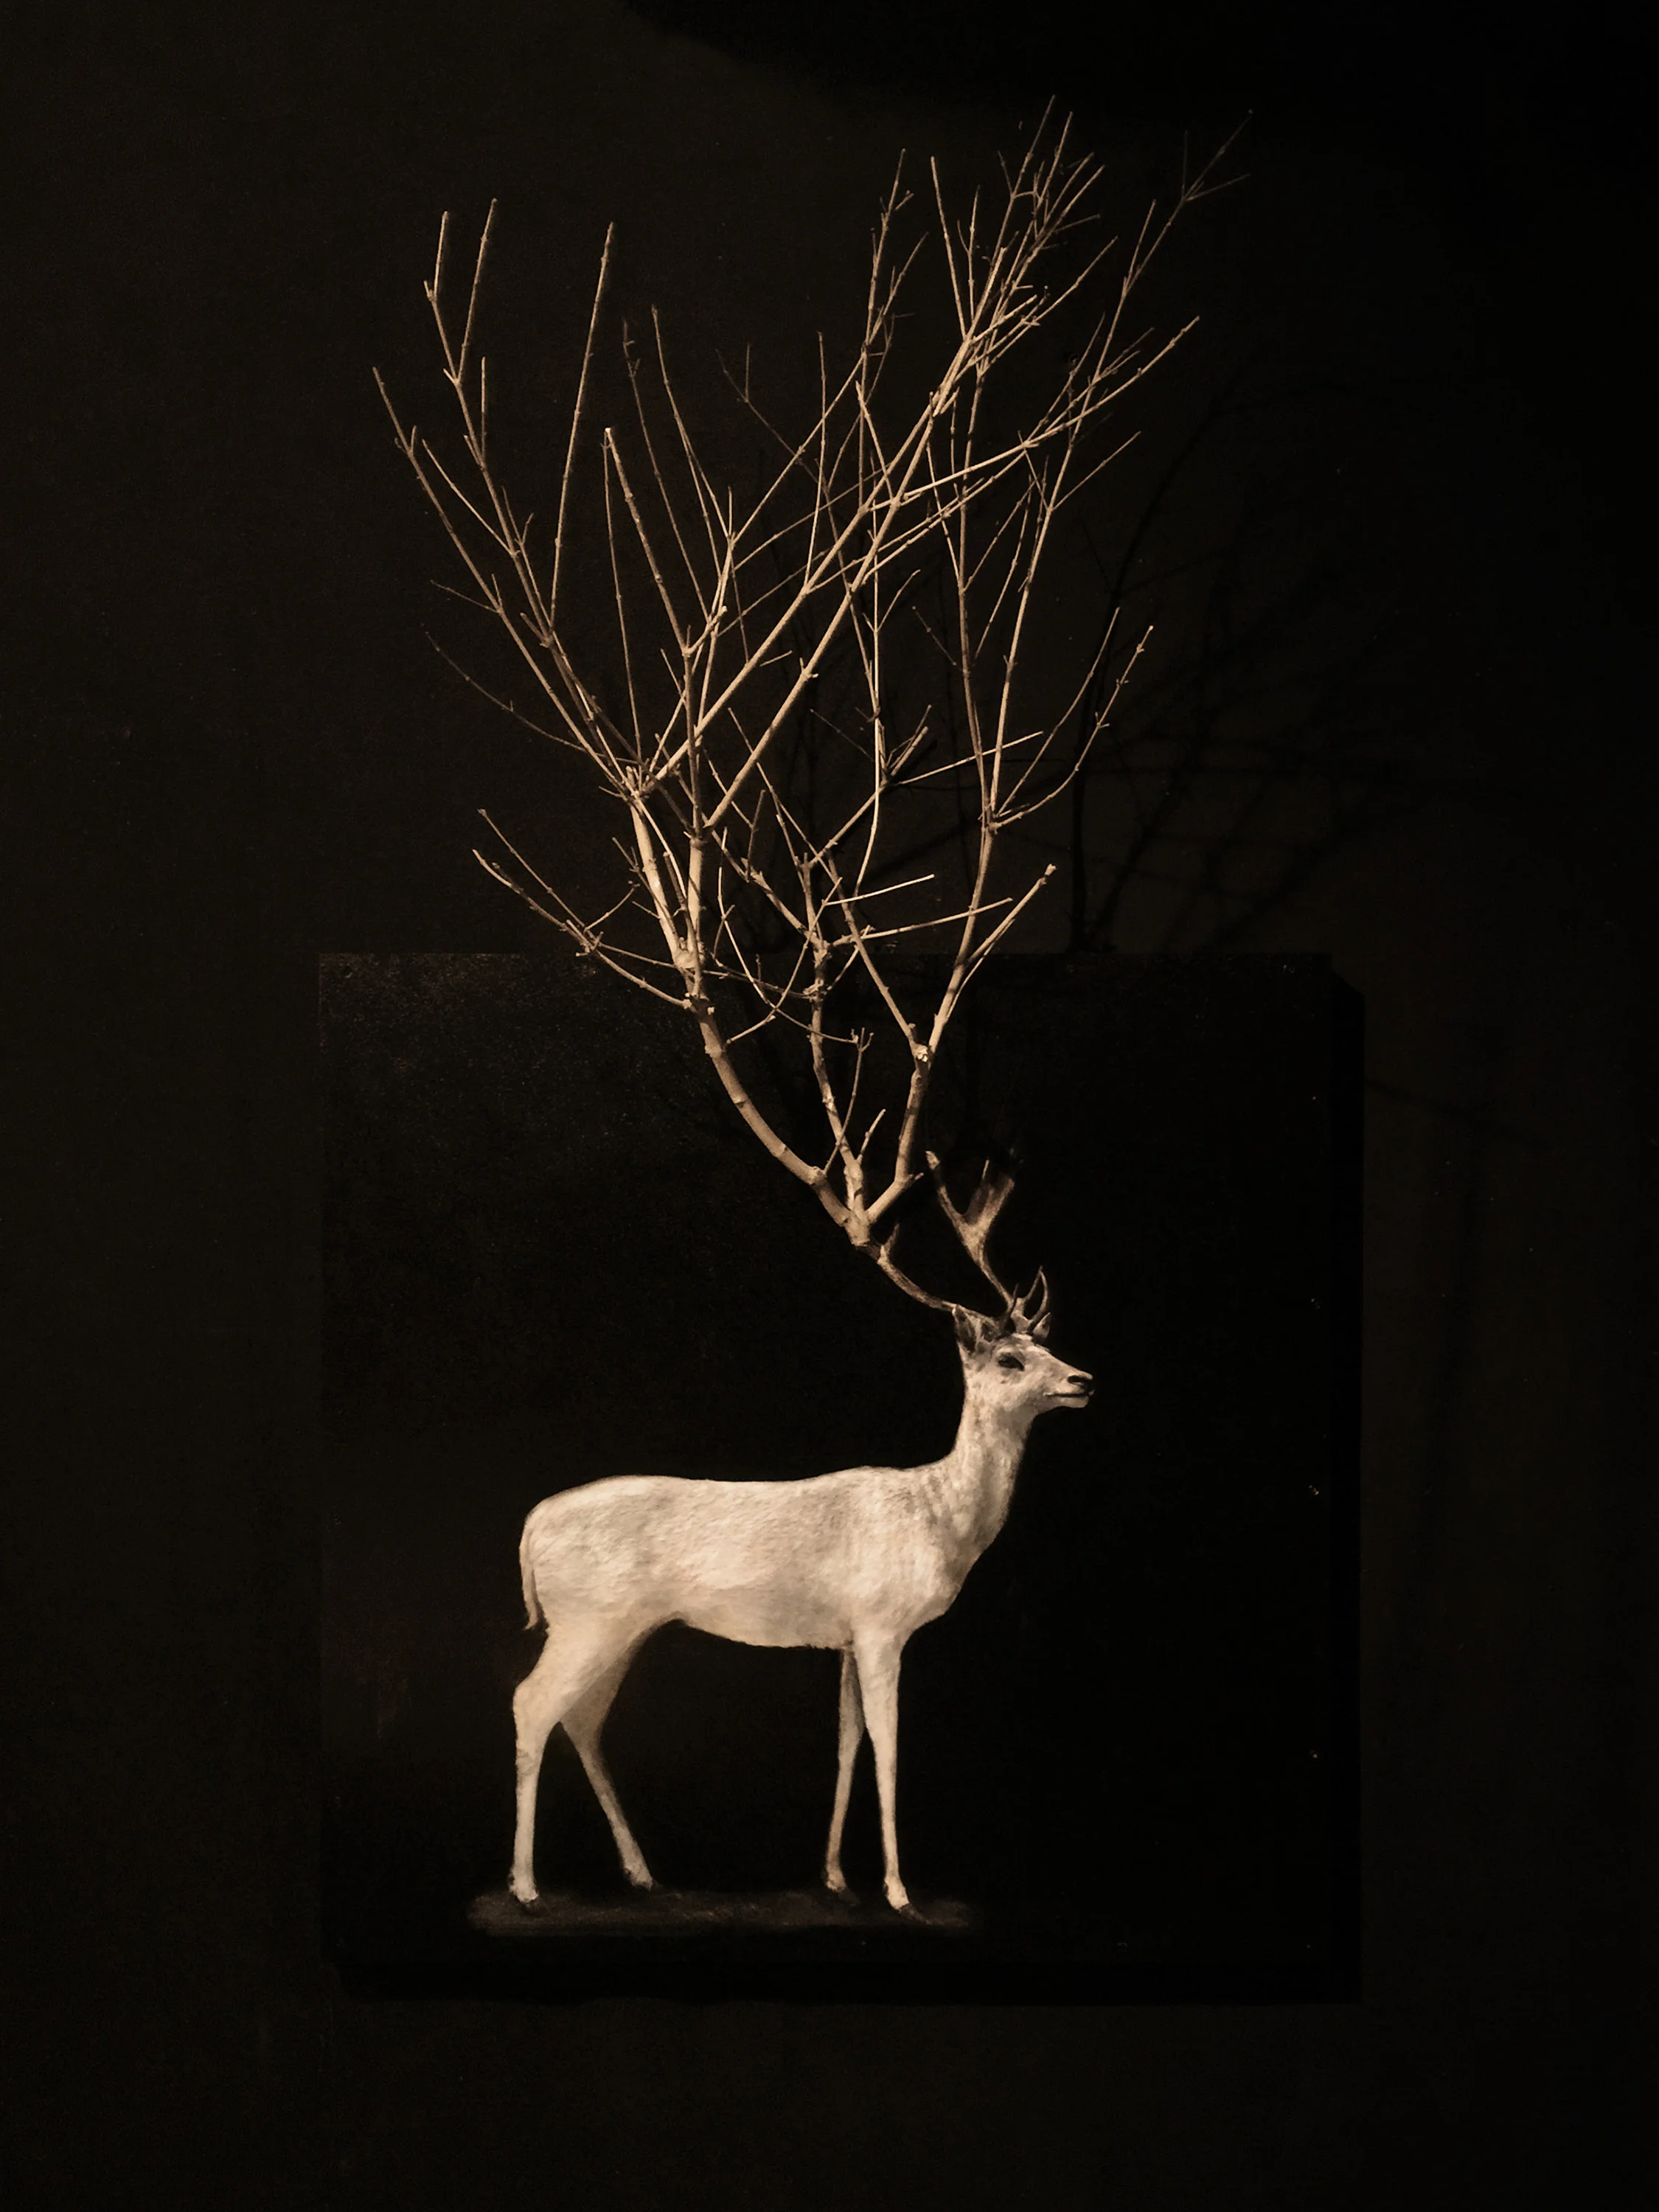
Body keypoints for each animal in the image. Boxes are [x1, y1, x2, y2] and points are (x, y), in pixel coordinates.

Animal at [509, 1165, 1092, 1913]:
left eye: (1049, 1346)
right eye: (1012, 1359)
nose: (1083, 1379)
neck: (938, 1519)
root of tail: (532, 1527)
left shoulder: (845, 1637)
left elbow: (847, 1742)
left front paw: (836, 1876)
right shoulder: (881, 1625)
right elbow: (889, 1746)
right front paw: (899, 1891)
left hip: (623, 1627)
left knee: (582, 1719)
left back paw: (641, 1872)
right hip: (585, 1619)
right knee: (532, 1704)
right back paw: (526, 1886)